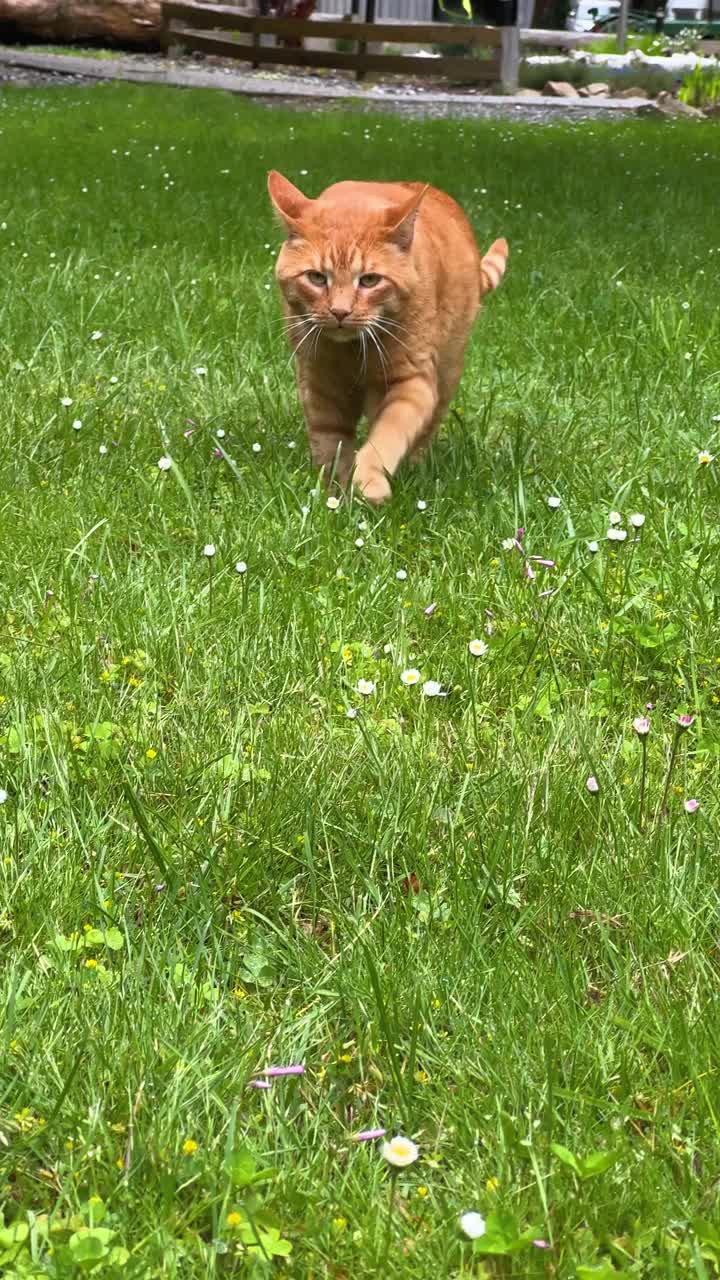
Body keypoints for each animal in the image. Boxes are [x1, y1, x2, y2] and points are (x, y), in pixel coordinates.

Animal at [266, 172, 507, 501]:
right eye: (316, 277)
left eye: (369, 280)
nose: (340, 311)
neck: (352, 355)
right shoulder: (319, 387)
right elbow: (330, 446)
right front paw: (335, 494)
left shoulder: (412, 383)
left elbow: (386, 437)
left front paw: (368, 482)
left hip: (446, 373)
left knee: (425, 432)